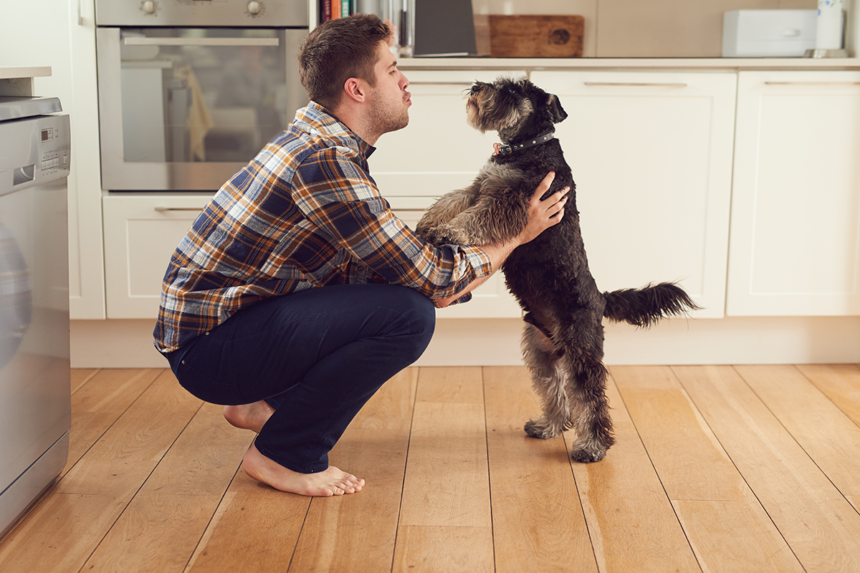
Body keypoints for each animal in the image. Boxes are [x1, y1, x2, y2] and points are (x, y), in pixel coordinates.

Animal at [416, 76, 700, 462]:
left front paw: (448, 231)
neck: (526, 147)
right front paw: (428, 223)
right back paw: (548, 426)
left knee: (590, 398)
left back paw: (592, 446)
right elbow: (451, 199)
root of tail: (600, 299)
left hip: (581, 351)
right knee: (557, 392)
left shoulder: (511, 202)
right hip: (541, 354)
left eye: (512, 90)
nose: (475, 86)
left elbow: (475, 218)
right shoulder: (481, 187)